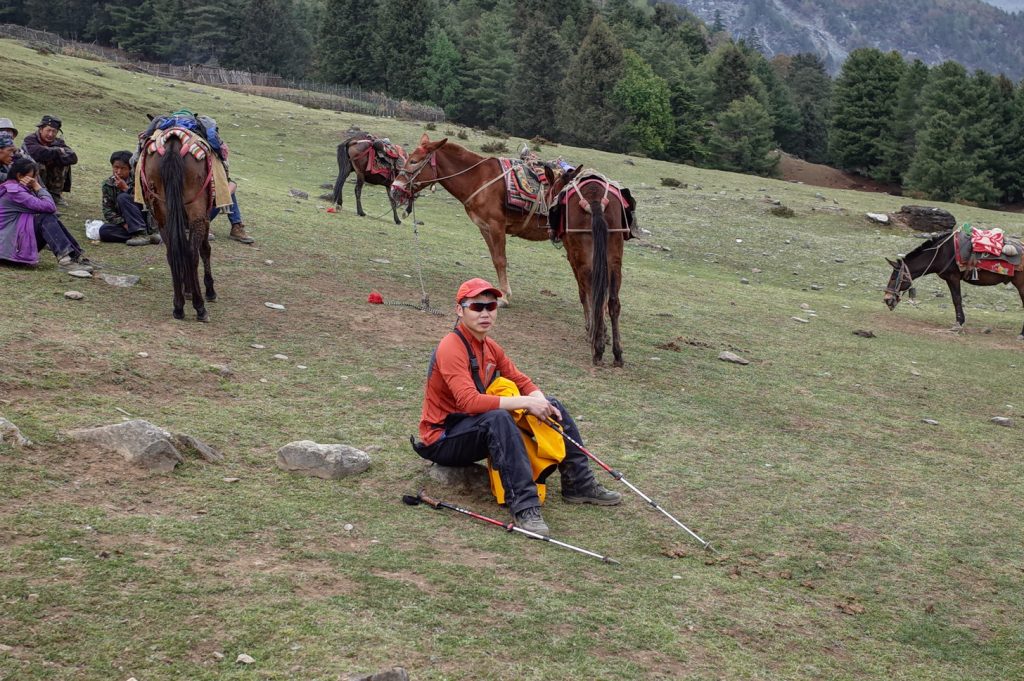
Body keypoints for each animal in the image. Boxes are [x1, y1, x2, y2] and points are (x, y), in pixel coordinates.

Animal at [140, 133, 214, 323]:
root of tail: (173, 145)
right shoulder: (205, 216)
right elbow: (204, 250)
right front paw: (209, 290)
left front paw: (186, 290)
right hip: (196, 209)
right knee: (192, 253)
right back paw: (200, 307)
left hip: (162, 213)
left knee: (173, 253)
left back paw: (179, 306)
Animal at [391, 135, 630, 364]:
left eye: (414, 161)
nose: (395, 188)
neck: (479, 178)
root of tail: (596, 196)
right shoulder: (485, 228)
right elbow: (496, 259)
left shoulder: (495, 226)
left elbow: (500, 260)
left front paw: (504, 297)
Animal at [880, 231, 1024, 337]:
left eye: (893, 278)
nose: (887, 299)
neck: (941, 253)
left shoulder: (953, 277)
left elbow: (956, 299)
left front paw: (958, 324)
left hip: (1021, 284)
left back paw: (1021, 334)